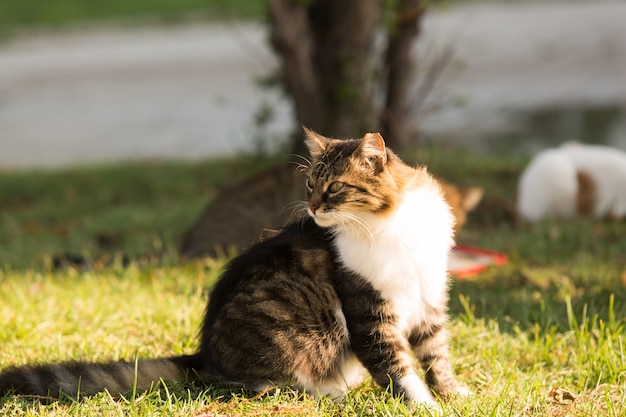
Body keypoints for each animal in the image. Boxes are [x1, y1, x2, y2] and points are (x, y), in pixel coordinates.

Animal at [0, 129, 468, 406]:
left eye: (334, 188)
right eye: (309, 185)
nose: (313, 208)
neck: (389, 224)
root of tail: (203, 355)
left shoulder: (428, 297)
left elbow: (436, 354)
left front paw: (451, 393)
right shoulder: (369, 312)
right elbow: (398, 368)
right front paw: (424, 406)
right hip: (289, 345)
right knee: (253, 383)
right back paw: (323, 392)